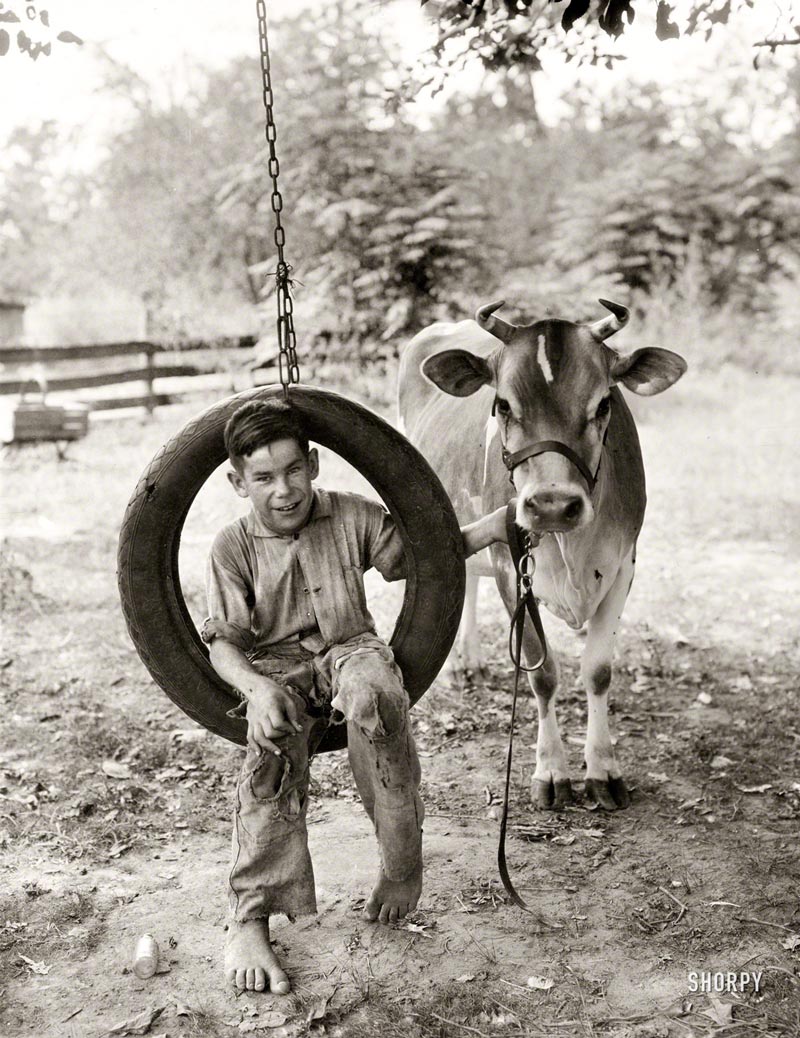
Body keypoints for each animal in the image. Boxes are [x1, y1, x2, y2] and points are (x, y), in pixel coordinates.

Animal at [400, 301, 688, 809]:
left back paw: (471, 661)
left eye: (604, 404)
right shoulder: (509, 564)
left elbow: (598, 671)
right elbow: (543, 673)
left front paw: (603, 769)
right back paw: (459, 665)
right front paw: (552, 771)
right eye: (502, 405)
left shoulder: (623, 566)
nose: (553, 504)